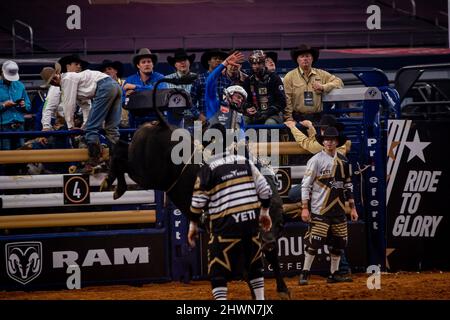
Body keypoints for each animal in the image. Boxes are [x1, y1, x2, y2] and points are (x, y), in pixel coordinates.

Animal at [101, 118, 292, 300]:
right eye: (260, 221)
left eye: (280, 224)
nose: (268, 242)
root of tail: (161, 125)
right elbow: (247, 267)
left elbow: (271, 259)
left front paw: (282, 289)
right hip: (144, 174)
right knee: (120, 154)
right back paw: (113, 184)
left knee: (122, 148)